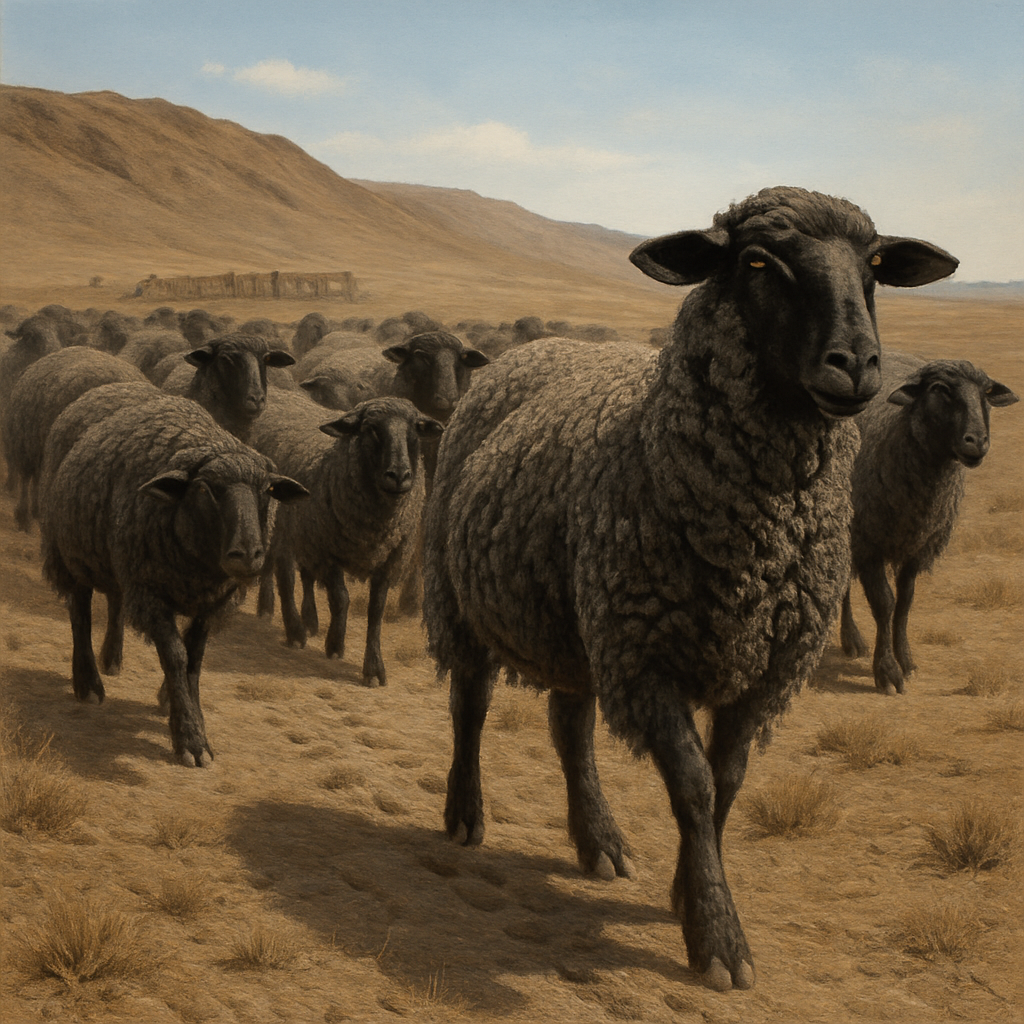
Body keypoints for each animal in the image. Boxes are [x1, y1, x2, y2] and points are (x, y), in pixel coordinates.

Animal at [39, 394, 308, 766]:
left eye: (267, 489)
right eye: (205, 488)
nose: (248, 554)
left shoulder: (214, 601)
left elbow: (194, 656)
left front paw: (178, 702)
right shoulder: (151, 594)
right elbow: (176, 656)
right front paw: (191, 739)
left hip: (118, 561)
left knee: (116, 600)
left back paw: (113, 659)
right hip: (70, 552)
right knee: (79, 613)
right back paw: (89, 684)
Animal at [251, 389, 441, 686]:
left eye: (414, 429)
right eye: (371, 428)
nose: (399, 476)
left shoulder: (389, 558)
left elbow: (376, 610)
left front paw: (373, 667)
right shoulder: (327, 549)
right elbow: (340, 598)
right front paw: (335, 644)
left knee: (297, 573)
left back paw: (303, 619)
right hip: (283, 526)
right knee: (284, 574)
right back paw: (293, 629)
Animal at [422, 186, 958, 991]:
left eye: (873, 265)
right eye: (757, 262)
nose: (858, 364)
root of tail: (529, 353)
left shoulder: (765, 666)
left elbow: (727, 781)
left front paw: (685, 892)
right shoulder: (650, 660)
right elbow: (694, 786)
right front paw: (717, 938)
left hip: (578, 623)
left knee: (569, 728)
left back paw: (600, 841)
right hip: (466, 600)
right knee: (471, 705)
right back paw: (465, 813)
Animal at [840, 352, 1018, 694]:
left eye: (986, 392)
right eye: (939, 389)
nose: (977, 442)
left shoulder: (918, 546)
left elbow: (905, 603)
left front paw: (906, 661)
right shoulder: (868, 541)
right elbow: (884, 604)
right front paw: (887, 672)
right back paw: (851, 640)